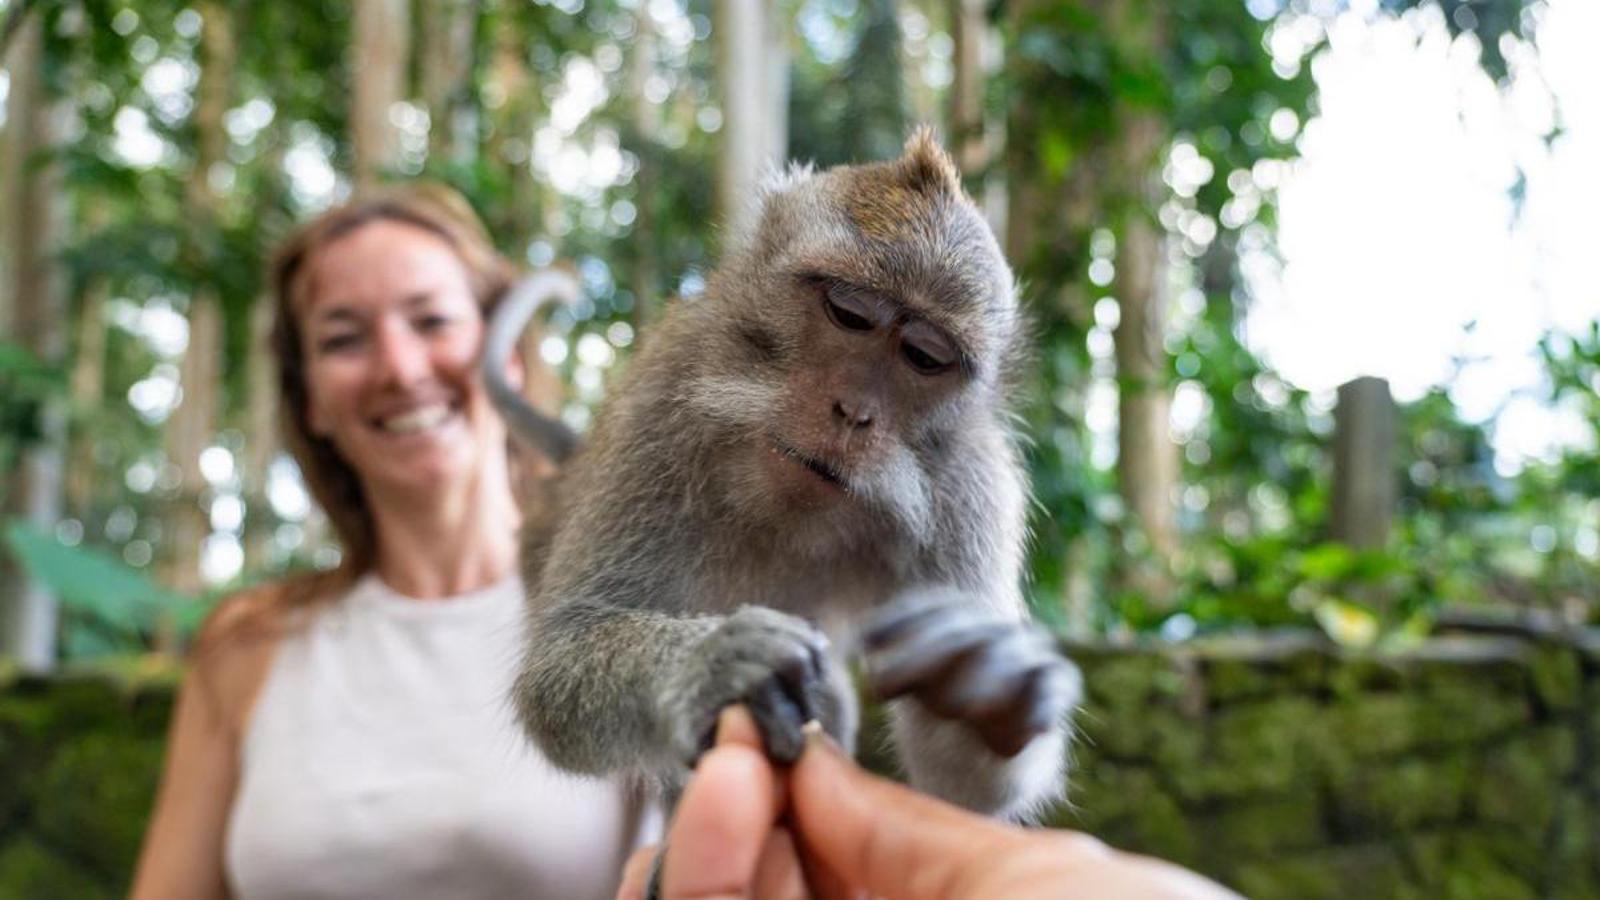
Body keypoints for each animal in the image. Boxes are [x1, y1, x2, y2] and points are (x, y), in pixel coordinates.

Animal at [481, 130, 1080, 824]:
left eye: (924, 357)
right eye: (849, 312)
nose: (853, 411)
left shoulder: (973, 487)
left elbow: (964, 793)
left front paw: (987, 680)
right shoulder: (664, 394)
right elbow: (559, 666)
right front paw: (711, 664)